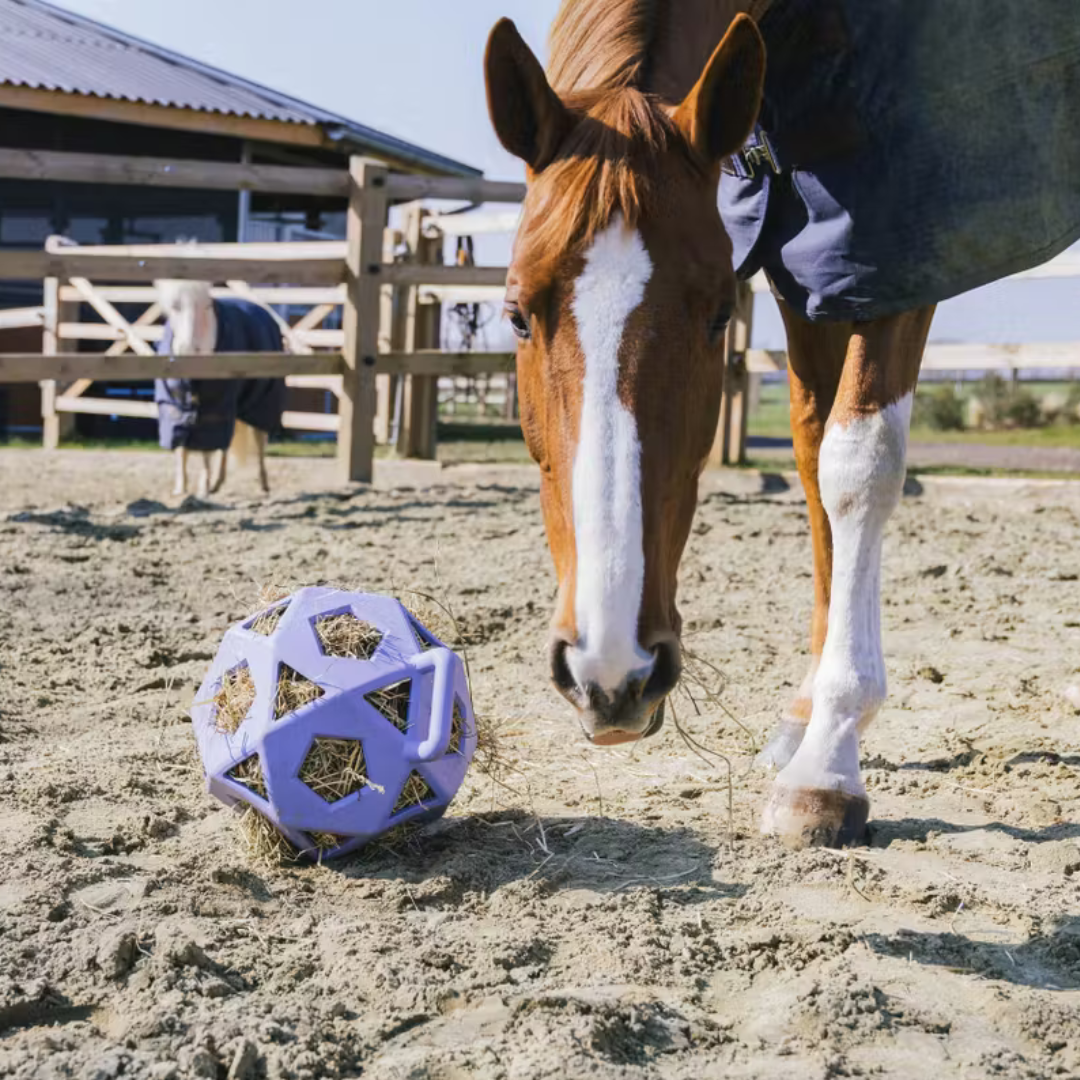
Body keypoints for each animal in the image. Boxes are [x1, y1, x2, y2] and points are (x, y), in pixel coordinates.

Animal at [154, 281, 287, 499]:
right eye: (174, 306)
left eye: (207, 305)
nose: (189, 350)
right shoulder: (175, 407)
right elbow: (181, 446)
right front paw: (181, 488)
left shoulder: (214, 407)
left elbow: (206, 449)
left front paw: (203, 488)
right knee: (226, 443)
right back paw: (218, 481)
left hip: (261, 402)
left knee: (258, 440)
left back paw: (263, 484)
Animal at [483, 0, 1080, 848]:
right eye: (517, 315)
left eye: (717, 316)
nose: (611, 676)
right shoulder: (810, 263)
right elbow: (811, 456)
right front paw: (806, 720)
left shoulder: (895, 247)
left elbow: (857, 466)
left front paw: (826, 763)